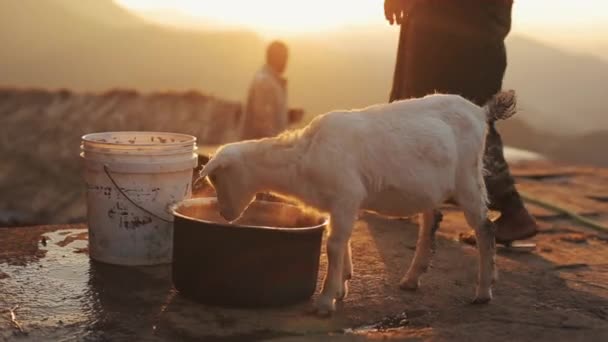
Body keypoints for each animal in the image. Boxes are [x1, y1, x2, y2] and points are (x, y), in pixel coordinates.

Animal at [200, 90, 516, 316]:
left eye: (215, 177)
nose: (224, 214)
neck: (303, 157)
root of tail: (481, 111)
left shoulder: (346, 195)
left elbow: (333, 245)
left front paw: (326, 301)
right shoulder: (341, 203)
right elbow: (342, 240)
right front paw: (342, 285)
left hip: (468, 178)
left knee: (484, 228)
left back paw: (483, 291)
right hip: (431, 186)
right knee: (431, 222)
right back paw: (412, 278)